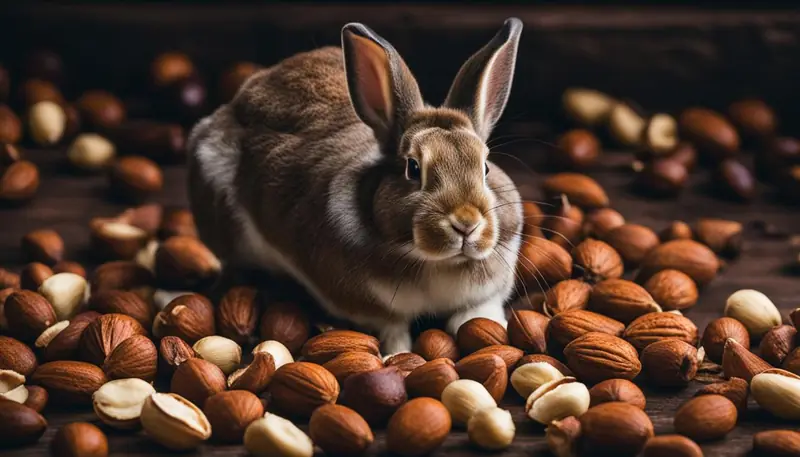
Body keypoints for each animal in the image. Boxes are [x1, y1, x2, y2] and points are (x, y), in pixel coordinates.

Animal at [187, 18, 525, 356]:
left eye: (485, 166)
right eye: (413, 168)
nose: (466, 223)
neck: (437, 262)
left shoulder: (483, 297)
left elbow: (474, 317)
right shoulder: (373, 311)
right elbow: (394, 333)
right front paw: (398, 357)